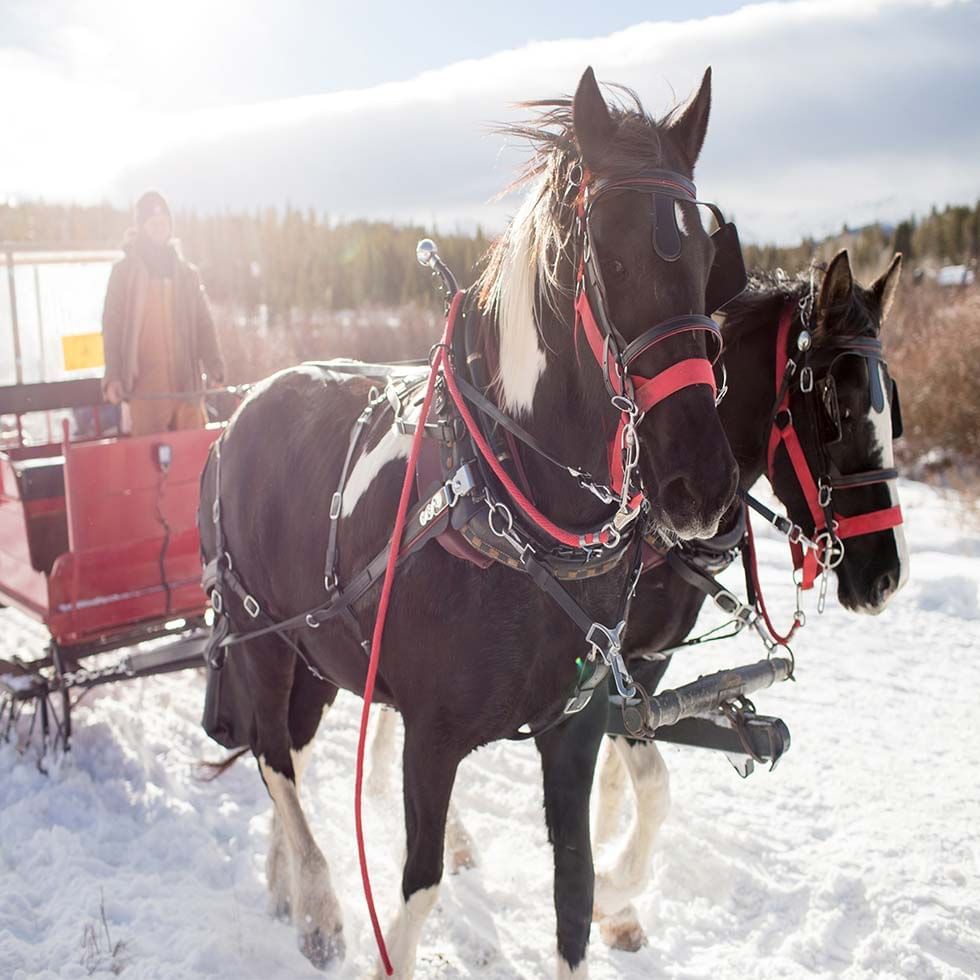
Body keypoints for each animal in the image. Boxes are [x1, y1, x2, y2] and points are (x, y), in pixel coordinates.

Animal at [197, 65, 736, 976]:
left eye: (705, 256)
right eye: (610, 254)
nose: (700, 481)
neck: (517, 512)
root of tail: (241, 408)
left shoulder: (576, 730)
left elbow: (575, 896)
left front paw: (605, 904)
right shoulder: (431, 736)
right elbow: (415, 893)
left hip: (315, 649)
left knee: (291, 750)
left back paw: (281, 879)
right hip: (259, 634)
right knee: (274, 757)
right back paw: (318, 901)